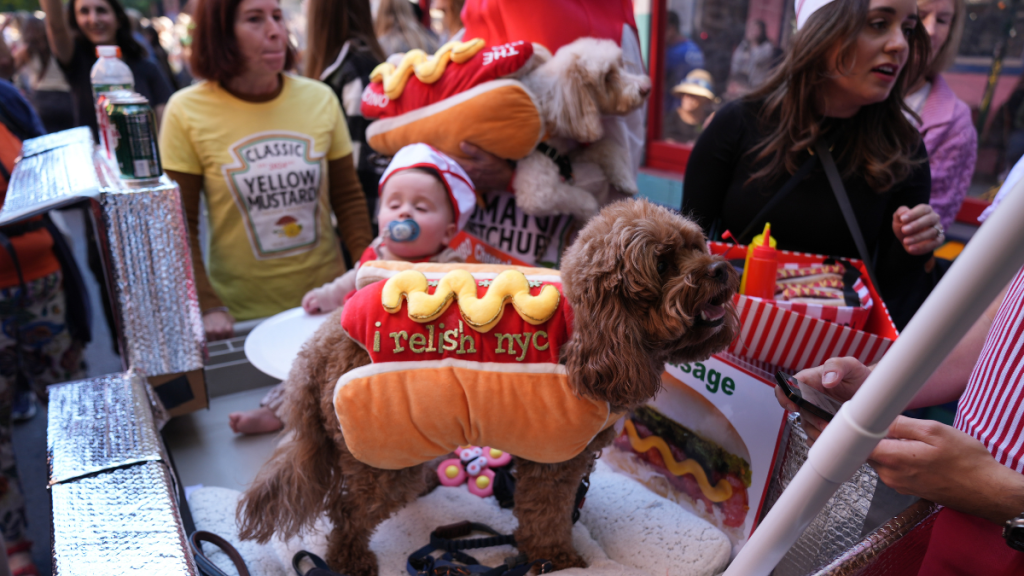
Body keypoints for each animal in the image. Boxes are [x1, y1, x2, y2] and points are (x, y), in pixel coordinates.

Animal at [236, 198, 741, 573]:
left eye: (698, 245)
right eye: (663, 263)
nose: (722, 269)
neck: (590, 336)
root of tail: (315, 351)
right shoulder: (552, 462)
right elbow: (546, 516)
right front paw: (556, 559)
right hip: (378, 456)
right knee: (347, 513)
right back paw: (350, 561)